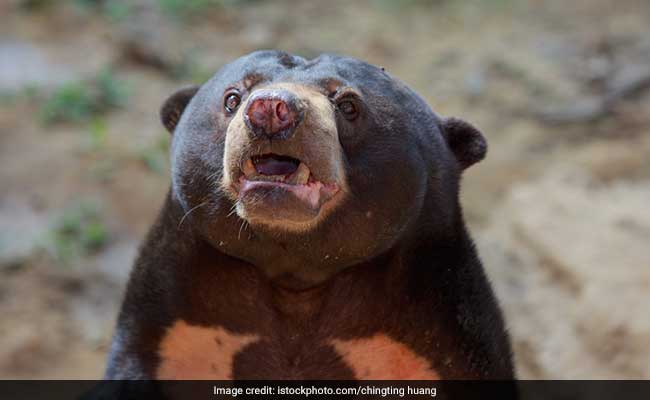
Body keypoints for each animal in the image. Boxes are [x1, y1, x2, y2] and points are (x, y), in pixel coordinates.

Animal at [104, 50, 514, 382]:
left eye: (348, 105)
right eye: (232, 97)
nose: (271, 111)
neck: (296, 275)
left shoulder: (440, 337)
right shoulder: (171, 333)